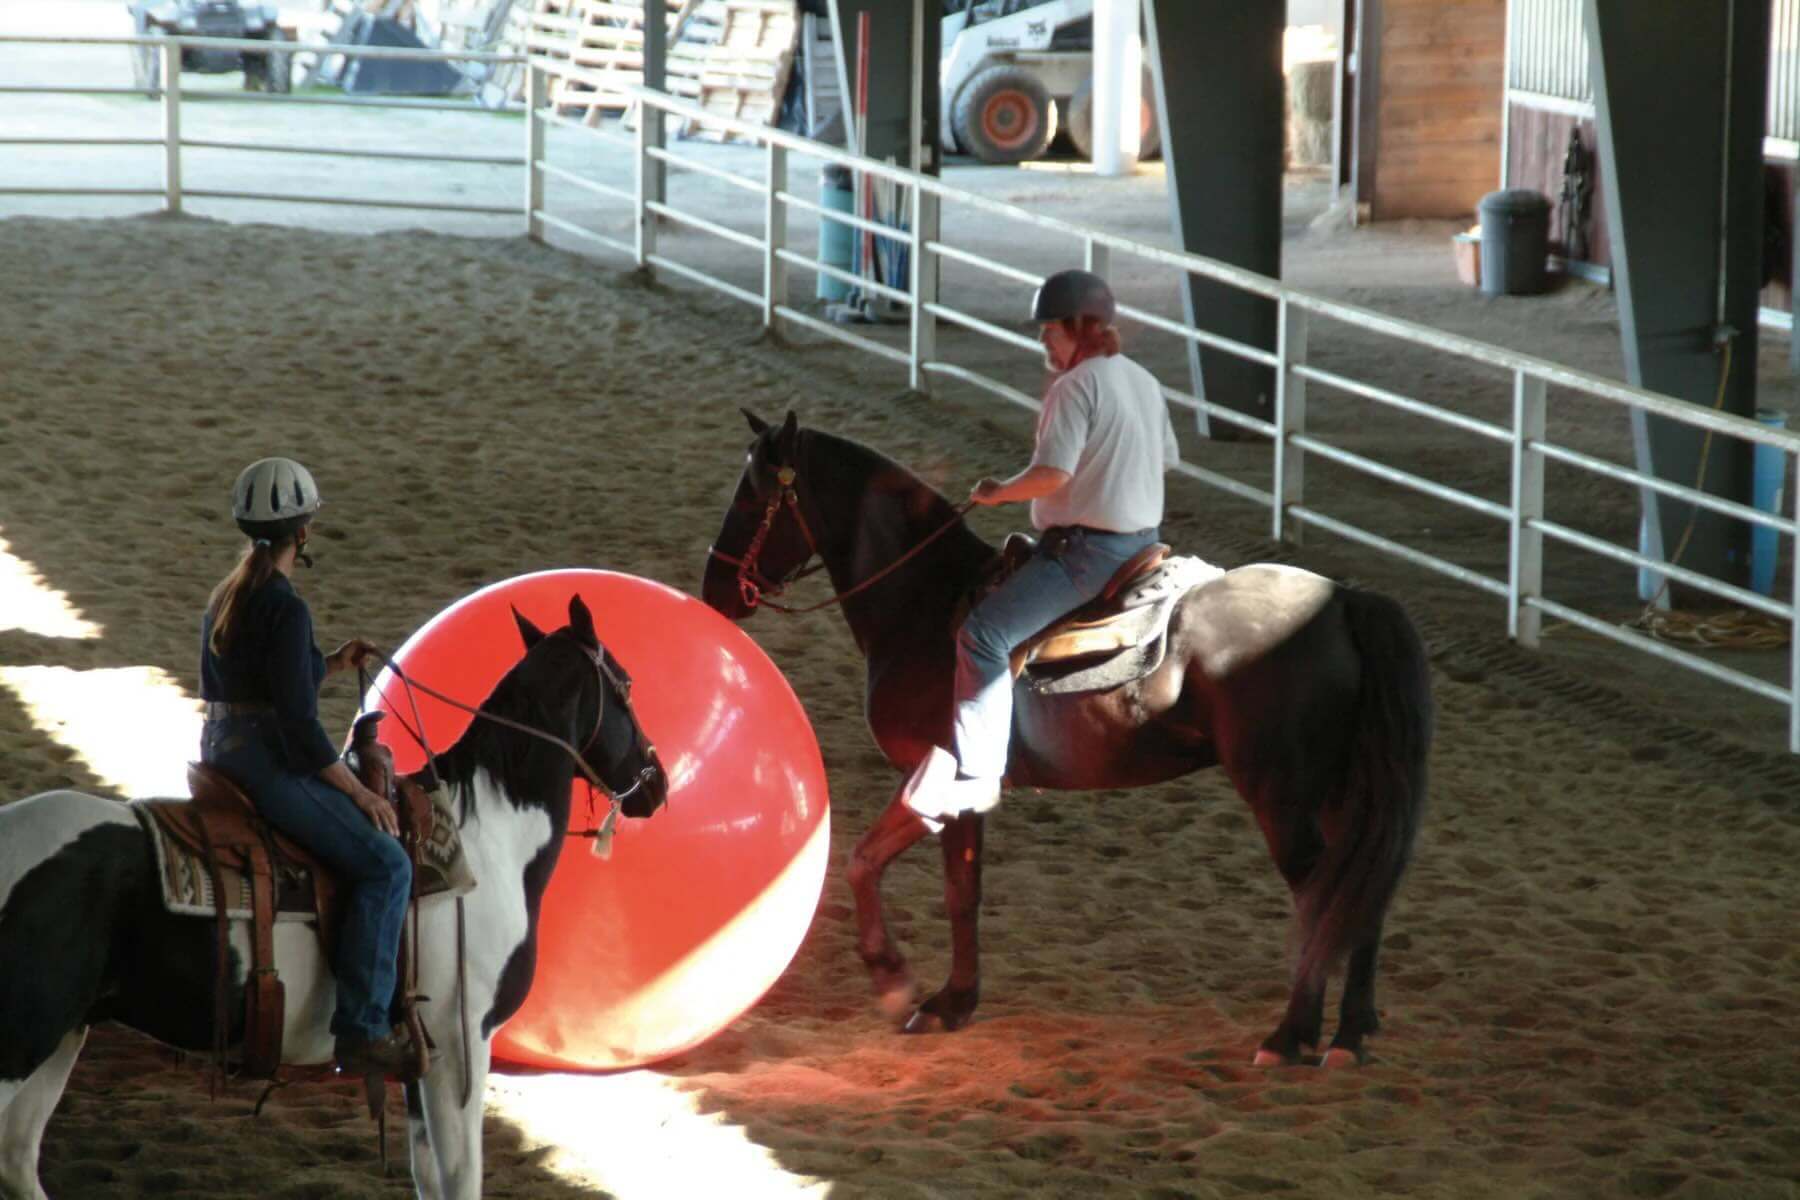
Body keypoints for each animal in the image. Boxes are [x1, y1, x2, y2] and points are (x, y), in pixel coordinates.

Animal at [0, 597, 669, 1200]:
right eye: (629, 683)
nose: (656, 784)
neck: (486, 837)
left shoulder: (421, 1053)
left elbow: (429, 1176)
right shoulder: (462, 1043)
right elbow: (460, 1178)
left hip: (64, 1034)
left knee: (19, 1162)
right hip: (23, 1042)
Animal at [702, 413, 1432, 1072]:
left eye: (752, 495)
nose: (715, 591)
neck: (925, 605)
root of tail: (1345, 599)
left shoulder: (939, 775)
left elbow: (864, 863)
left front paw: (897, 982)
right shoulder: (969, 794)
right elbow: (962, 892)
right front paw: (953, 1001)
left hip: (1280, 795)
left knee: (1320, 892)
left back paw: (1290, 1036)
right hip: (1340, 790)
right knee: (1361, 889)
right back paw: (1349, 1034)